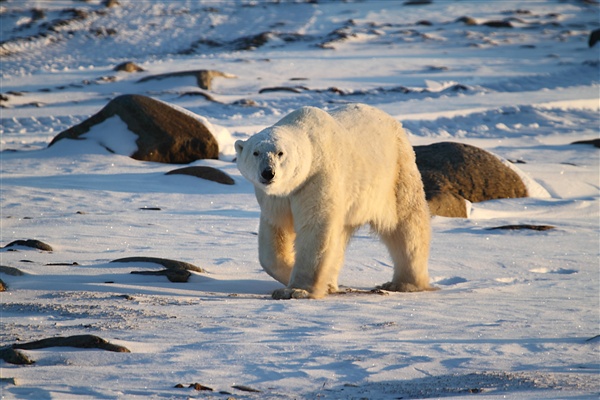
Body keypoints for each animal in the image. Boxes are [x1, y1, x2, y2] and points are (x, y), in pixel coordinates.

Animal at [234, 103, 432, 300]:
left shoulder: (317, 177)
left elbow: (316, 227)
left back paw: (404, 283)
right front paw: (306, 279)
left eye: (280, 153)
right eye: (255, 152)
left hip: (396, 173)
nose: (268, 173)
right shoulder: (275, 198)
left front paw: (297, 290)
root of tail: (394, 122)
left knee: (406, 225)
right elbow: (275, 233)